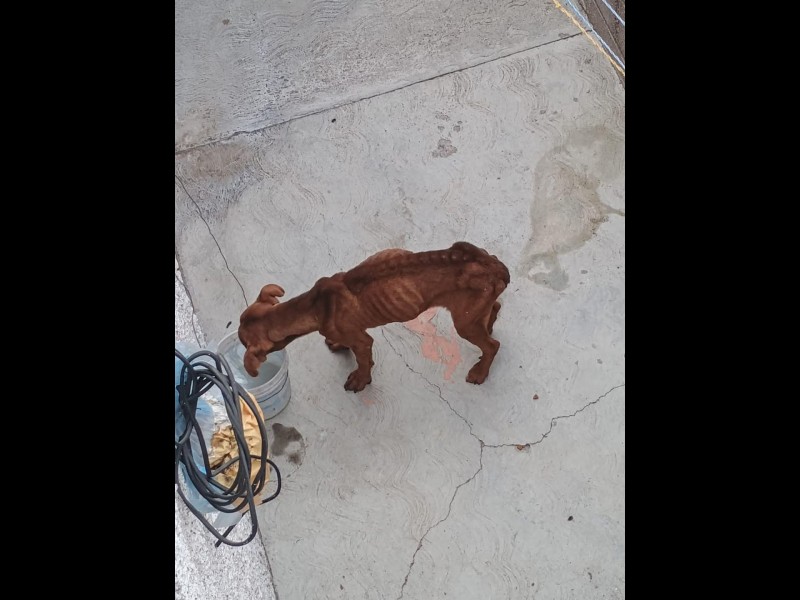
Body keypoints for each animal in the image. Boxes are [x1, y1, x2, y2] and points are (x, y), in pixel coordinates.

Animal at [238, 241, 510, 392]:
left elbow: (363, 362)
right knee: (494, 308)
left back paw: (480, 372)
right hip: (473, 310)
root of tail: (496, 266)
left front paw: (361, 379)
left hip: (463, 323)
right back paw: (490, 326)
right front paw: (337, 345)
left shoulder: (362, 341)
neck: (314, 305)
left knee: (493, 346)